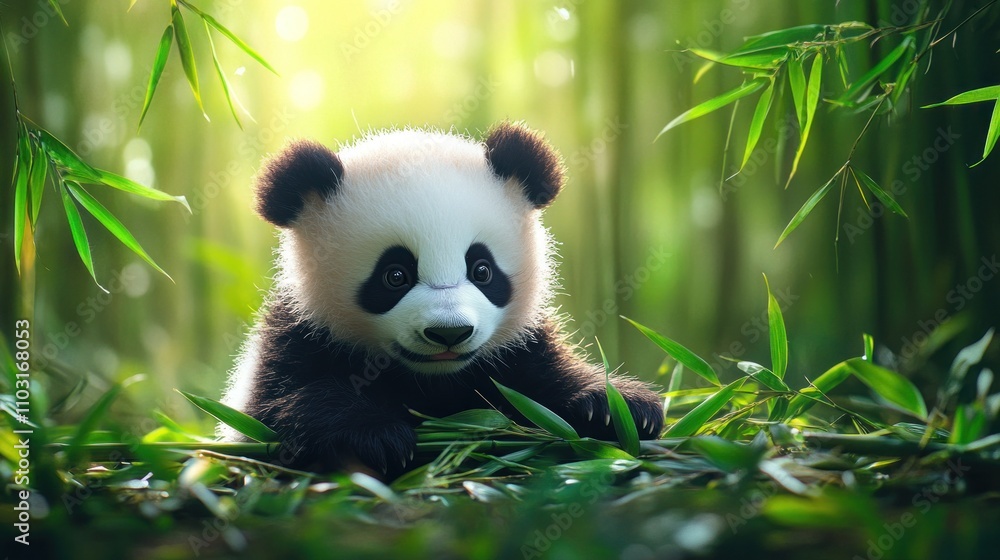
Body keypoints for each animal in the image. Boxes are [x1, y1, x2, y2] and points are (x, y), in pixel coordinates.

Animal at [222, 121, 664, 476]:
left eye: (482, 270)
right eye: (395, 275)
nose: (449, 333)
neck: (432, 378)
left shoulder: (516, 350)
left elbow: (546, 392)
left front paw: (617, 408)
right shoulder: (297, 338)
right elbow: (273, 417)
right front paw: (377, 436)